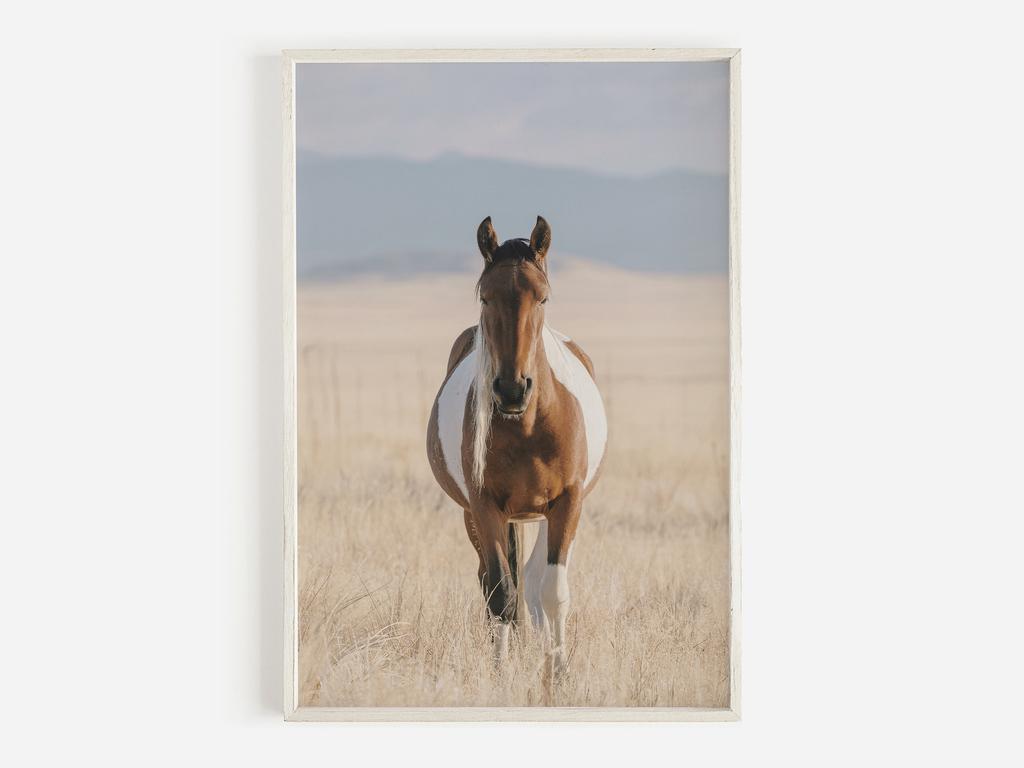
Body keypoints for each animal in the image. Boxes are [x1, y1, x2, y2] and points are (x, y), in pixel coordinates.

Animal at [426, 215, 607, 675]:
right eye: (485, 296)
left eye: (542, 297)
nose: (511, 389)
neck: (527, 426)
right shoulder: (484, 505)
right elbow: (500, 594)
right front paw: (500, 673)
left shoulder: (567, 503)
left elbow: (552, 592)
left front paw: (558, 673)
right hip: (479, 515)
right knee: (498, 582)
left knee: (533, 579)